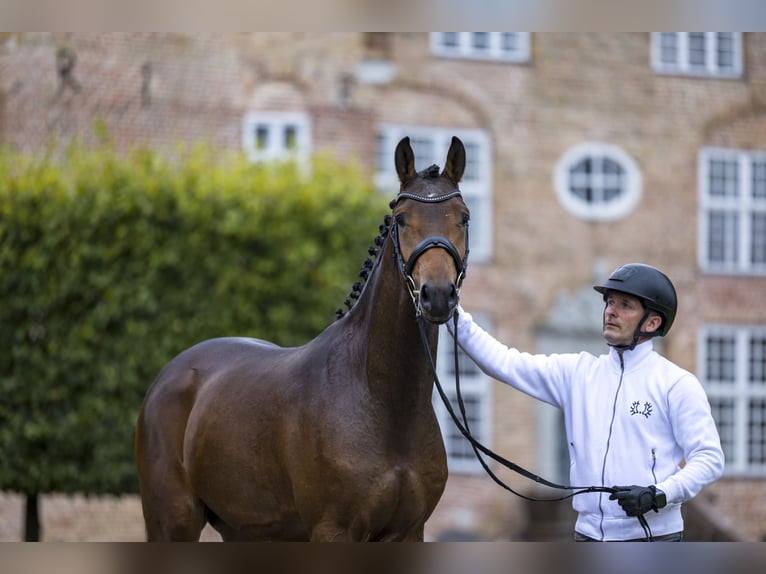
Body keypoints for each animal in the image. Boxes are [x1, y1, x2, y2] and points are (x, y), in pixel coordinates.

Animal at [137, 137, 472, 544]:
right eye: (401, 219)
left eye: (464, 217)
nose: (437, 296)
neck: (385, 404)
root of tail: (168, 376)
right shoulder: (333, 530)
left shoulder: (409, 532)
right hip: (172, 522)